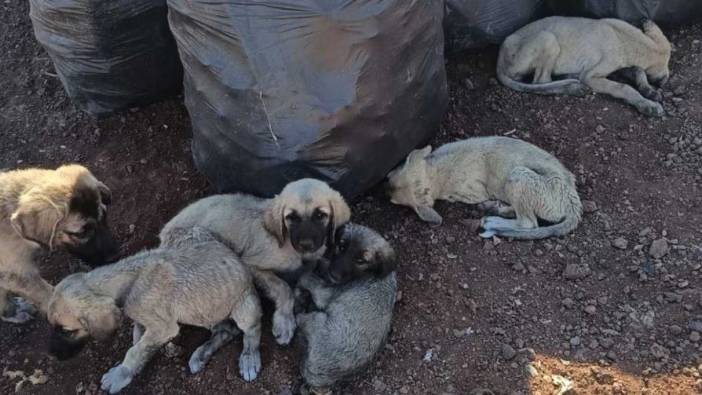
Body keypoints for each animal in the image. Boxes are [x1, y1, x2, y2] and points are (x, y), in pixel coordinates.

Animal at [164, 179, 352, 346]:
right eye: (291, 217)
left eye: (320, 215)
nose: (306, 245)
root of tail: (163, 234)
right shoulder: (251, 265)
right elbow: (283, 288)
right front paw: (284, 321)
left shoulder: (312, 259)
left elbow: (304, 274)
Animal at [294, 224, 398, 394]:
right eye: (341, 247)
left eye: (361, 260)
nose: (333, 274)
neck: (373, 274)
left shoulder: (325, 293)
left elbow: (308, 278)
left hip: (316, 320)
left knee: (300, 318)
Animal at [388, 136, 584, 241]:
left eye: (393, 201)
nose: (384, 189)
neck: (436, 174)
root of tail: (573, 205)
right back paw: (496, 208)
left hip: (519, 177)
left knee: (528, 223)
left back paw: (493, 220)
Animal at [500, 16, 672, 117]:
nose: (664, 80)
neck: (625, 38)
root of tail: (500, 54)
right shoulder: (591, 76)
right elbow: (624, 87)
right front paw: (647, 104)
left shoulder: (620, 66)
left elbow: (639, 70)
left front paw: (649, 90)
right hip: (547, 38)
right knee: (541, 81)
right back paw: (573, 87)